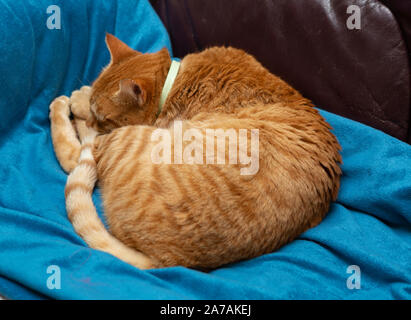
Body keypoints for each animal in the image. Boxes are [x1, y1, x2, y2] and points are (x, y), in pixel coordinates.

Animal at [49, 33, 342, 270]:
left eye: (102, 117)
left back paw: (63, 106)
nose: (90, 121)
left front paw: (79, 100)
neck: (177, 80)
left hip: (126, 139)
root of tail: (168, 260)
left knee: (74, 153)